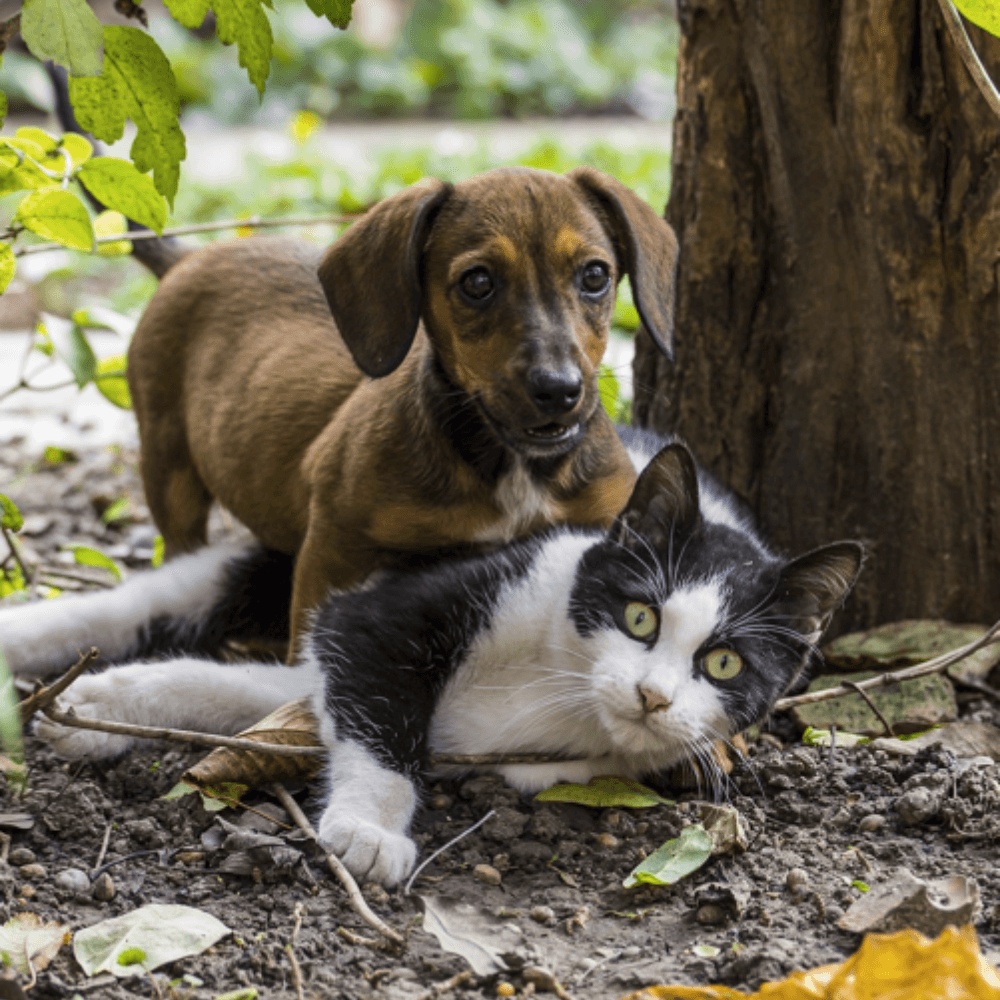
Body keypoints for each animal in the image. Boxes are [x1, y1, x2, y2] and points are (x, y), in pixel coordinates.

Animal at [0, 438, 864, 884]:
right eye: (640, 616)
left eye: (724, 666)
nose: (652, 696)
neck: (561, 683)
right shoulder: (390, 609)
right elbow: (379, 708)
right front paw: (368, 830)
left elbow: (250, 691)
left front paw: (103, 709)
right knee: (157, 595)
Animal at [129, 168, 680, 652]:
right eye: (477, 282)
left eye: (595, 275)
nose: (559, 390)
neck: (510, 466)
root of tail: (187, 258)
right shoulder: (332, 549)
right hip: (169, 469)